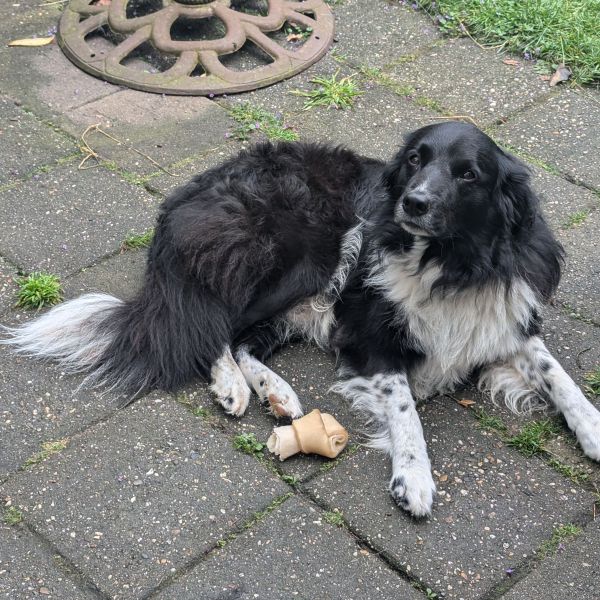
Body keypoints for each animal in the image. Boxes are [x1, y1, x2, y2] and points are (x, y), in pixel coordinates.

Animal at [4, 122, 600, 516]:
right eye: (414, 160)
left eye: (468, 174)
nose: (413, 202)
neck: (450, 262)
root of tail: (183, 200)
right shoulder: (371, 338)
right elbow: (405, 410)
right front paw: (414, 477)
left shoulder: (505, 318)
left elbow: (557, 376)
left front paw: (592, 429)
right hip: (302, 261)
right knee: (212, 328)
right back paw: (233, 388)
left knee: (244, 340)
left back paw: (278, 394)